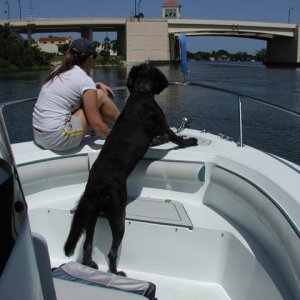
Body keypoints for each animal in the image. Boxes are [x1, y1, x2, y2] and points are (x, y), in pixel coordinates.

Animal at [63, 64, 197, 276]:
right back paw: (116, 272)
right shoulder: (163, 125)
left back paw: (91, 264)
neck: (141, 93)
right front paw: (190, 141)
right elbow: (176, 139)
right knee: (112, 252)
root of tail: (96, 186)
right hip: (118, 214)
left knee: (87, 244)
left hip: (92, 214)